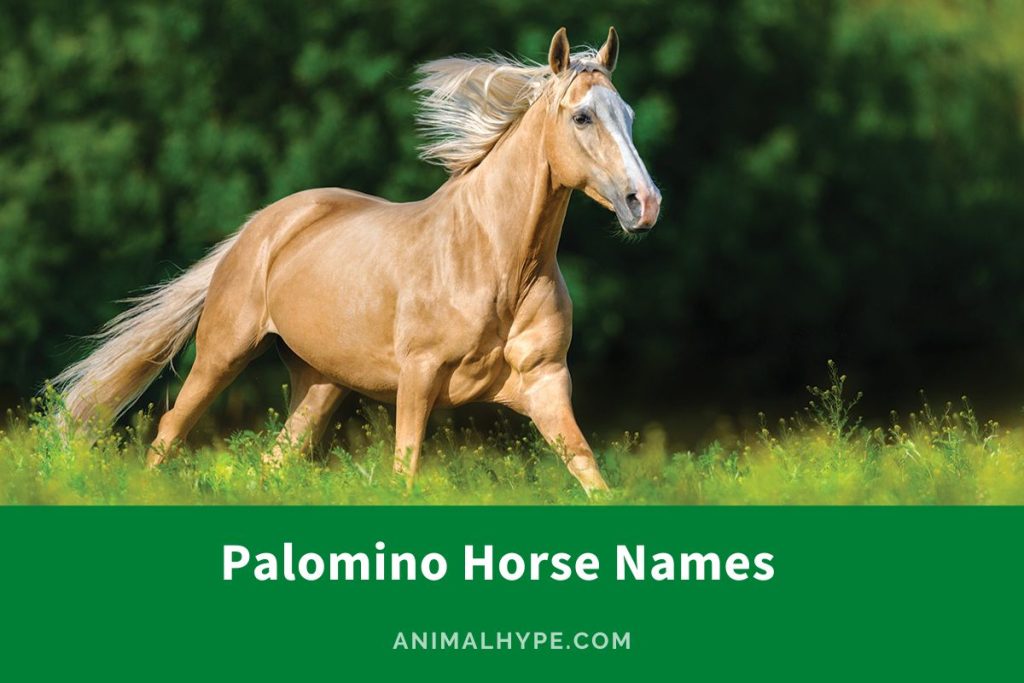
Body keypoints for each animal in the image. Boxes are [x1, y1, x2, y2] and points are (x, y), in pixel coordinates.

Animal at [53, 27, 662, 493]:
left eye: (629, 114)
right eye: (582, 117)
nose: (645, 203)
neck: (497, 265)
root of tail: (260, 227)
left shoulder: (546, 383)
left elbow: (591, 474)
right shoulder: (418, 378)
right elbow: (404, 473)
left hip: (320, 383)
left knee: (274, 460)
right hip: (221, 355)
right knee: (169, 433)